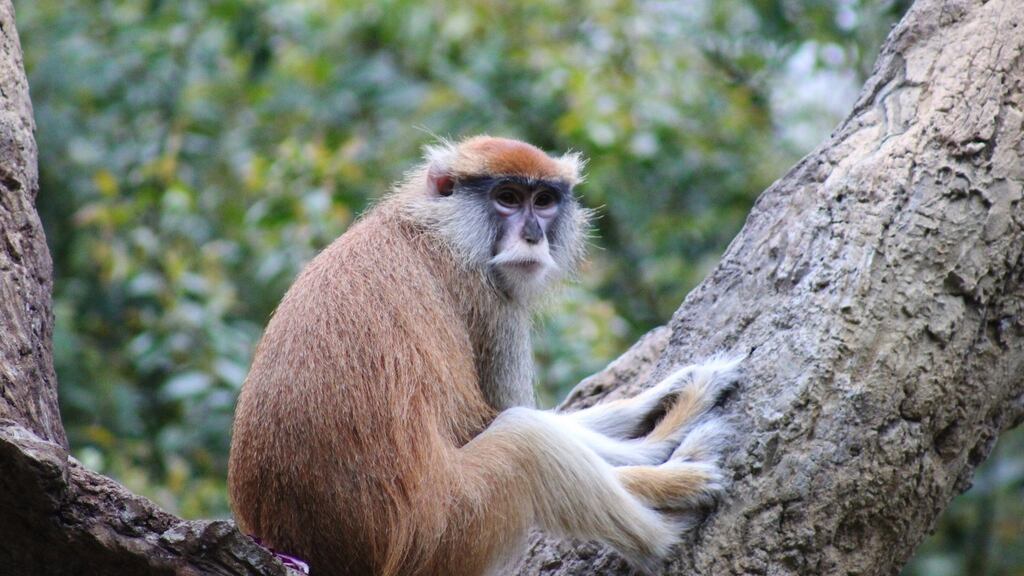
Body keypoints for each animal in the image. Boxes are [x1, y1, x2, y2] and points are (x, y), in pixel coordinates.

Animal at [228, 135, 740, 576]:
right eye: (508, 197)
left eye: (544, 201)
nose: (533, 236)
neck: (433, 225)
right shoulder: (490, 302)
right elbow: (495, 419)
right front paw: (660, 459)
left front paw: (662, 396)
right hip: (443, 531)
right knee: (525, 441)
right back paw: (667, 521)